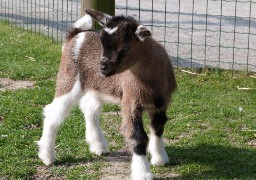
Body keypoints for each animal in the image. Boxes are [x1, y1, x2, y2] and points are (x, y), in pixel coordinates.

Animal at [37, 9, 176, 179]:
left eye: (127, 47)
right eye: (103, 43)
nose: (102, 68)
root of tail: (76, 34)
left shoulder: (161, 102)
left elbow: (158, 127)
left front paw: (160, 159)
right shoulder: (130, 101)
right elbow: (138, 137)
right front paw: (143, 173)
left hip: (97, 87)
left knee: (89, 108)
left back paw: (98, 146)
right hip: (68, 78)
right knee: (53, 113)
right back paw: (47, 156)